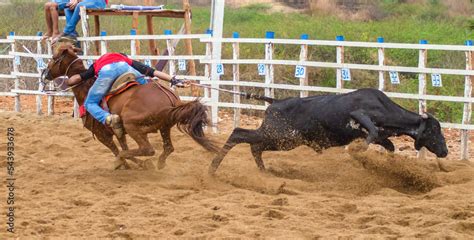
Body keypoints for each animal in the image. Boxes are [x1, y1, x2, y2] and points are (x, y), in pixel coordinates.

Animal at [44, 44, 218, 170]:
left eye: (53, 57)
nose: (45, 73)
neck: (86, 88)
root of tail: (171, 102)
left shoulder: (102, 135)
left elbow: (117, 149)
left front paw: (126, 163)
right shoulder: (119, 133)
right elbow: (123, 145)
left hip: (133, 125)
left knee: (147, 149)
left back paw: (128, 161)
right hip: (162, 127)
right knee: (168, 148)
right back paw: (159, 164)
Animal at [210, 87, 448, 173]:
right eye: (435, 130)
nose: (445, 151)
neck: (384, 107)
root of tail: (275, 102)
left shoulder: (383, 137)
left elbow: (389, 146)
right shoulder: (358, 115)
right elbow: (370, 131)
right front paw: (357, 150)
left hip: (284, 140)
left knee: (254, 146)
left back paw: (263, 172)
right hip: (279, 135)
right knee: (239, 134)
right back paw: (213, 168)